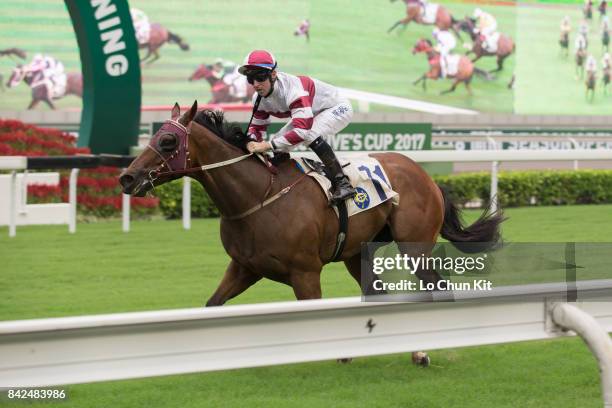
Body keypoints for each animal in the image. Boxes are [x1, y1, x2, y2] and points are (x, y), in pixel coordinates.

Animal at [118, 103, 502, 310]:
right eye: (153, 136)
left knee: (438, 286)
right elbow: (213, 304)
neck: (258, 197)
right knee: (376, 291)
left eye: (168, 141)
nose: (126, 177)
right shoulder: (244, 267)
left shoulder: (305, 273)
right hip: (356, 252)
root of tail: (426, 176)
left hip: (415, 247)